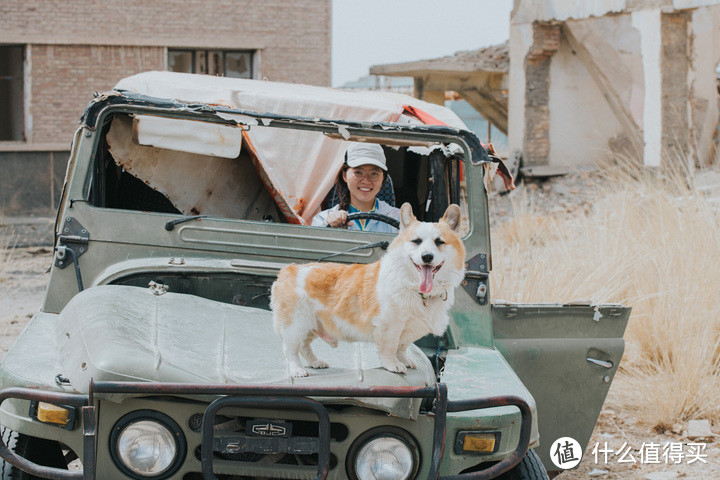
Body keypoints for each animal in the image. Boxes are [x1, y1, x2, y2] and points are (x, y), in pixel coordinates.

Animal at [272, 201, 466, 376]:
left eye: (439, 242)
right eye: (416, 241)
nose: (427, 257)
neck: (415, 288)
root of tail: (289, 270)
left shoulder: (409, 331)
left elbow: (402, 347)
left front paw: (405, 361)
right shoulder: (389, 326)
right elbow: (390, 348)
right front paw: (393, 365)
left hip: (311, 325)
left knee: (304, 346)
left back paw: (315, 362)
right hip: (296, 325)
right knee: (290, 350)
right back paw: (297, 369)